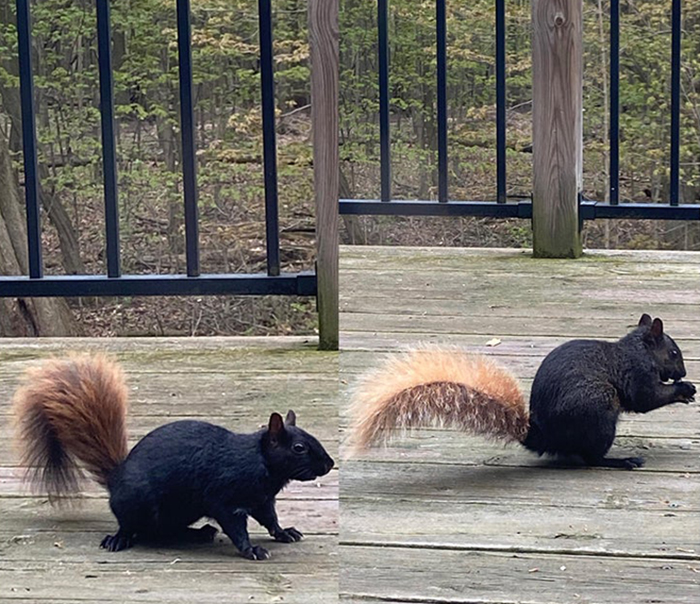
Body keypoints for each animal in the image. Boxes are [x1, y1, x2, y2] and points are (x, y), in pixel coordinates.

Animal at [12, 356, 334, 560]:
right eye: (299, 448)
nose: (329, 464)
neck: (261, 464)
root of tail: (116, 480)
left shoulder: (262, 499)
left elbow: (270, 519)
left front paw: (284, 532)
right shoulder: (225, 496)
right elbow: (235, 526)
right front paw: (251, 550)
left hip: (181, 510)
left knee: (166, 532)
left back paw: (199, 533)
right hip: (138, 501)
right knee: (138, 528)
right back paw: (120, 538)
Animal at [350, 314, 696, 470]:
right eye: (674, 353)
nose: (683, 373)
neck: (639, 350)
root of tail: (547, 436)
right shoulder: (638, 374)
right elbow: (646, 399)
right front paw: (682, 389)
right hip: (598, 410)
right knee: (590, 458)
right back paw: (620, 460)